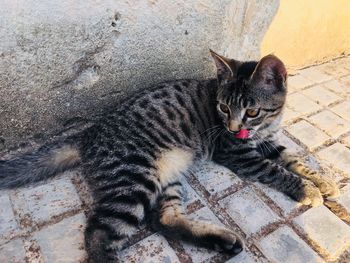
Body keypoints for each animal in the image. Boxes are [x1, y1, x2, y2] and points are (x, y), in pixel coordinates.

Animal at [0, 50, 340, 262]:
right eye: (223, 107)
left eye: (251, 111)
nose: (232, 128)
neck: (265, 126)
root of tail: (88, 134)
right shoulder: (239, 153)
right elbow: (276, 170)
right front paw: (307, 190)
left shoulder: (267, 141)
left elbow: (293, 159)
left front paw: (322, 180)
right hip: (134, 175)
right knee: (99, 233)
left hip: (168, 175)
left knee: (162, 218)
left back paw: (220, 240)